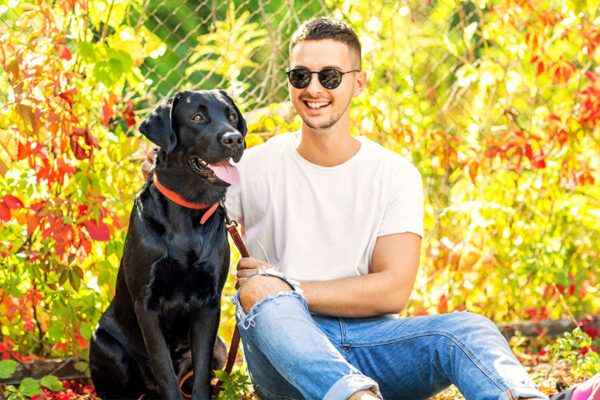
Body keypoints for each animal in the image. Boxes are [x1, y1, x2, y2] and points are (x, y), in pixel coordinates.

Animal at [87, 90, 246, 400]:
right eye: (197, 117)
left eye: (232, 116)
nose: (234, 139)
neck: (188, 211)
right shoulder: (147, 304)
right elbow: (164, 369)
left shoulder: (209, 303)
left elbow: (200, 374)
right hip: (105, 344)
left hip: (221, 347)